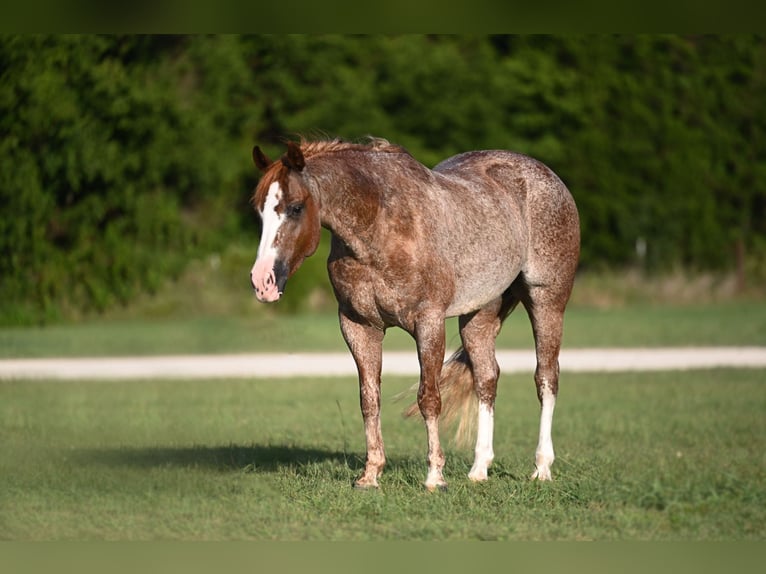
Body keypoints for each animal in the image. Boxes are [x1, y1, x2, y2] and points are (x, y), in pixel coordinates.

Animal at [249, 137, 580, 490]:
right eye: (260, 210)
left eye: (296, 207)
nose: (262, 281)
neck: (379, 226)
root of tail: (547, 176)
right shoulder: (358, 326)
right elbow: (369, 399)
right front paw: (370, 474)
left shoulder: (428, 322)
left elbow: (429, 398)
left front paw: (435, 477)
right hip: (480, 315)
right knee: (486, 379)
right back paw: (479, 469)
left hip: (547, 302)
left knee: (546, 378)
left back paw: (542, 467)